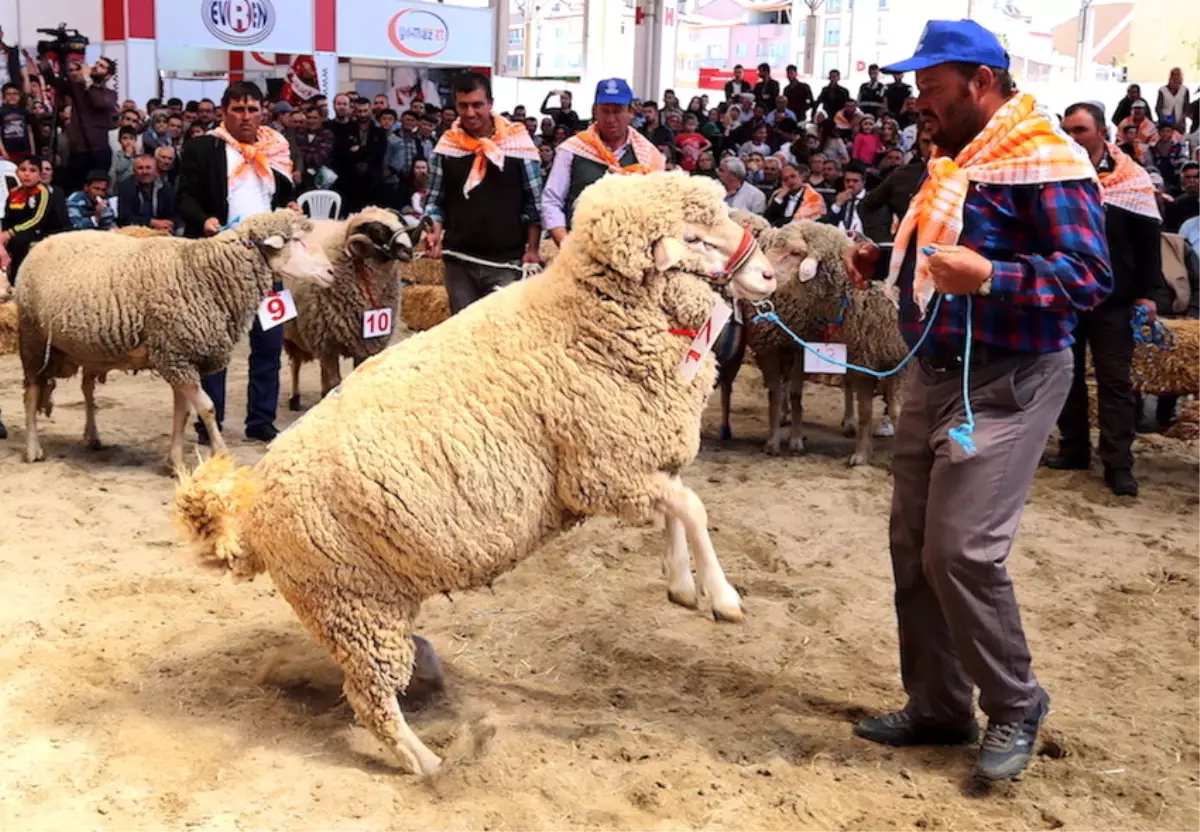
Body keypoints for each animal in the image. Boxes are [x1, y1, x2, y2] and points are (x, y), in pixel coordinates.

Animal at [17, 207, 338, 468]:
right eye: (297, 240)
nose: (331, 272)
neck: (207, 273)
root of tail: (42, 243)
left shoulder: (182, 357)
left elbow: (182, 413)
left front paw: (176, 463)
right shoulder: (176, 357)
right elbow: (207, 407)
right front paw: (221, 454)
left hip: (88, 350)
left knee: (87, 389)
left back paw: (92, 436)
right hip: (33, 341)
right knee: (32, 393)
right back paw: (33, 449)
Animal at [285, 204, 427, 405]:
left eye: (399, 223)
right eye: (377, 230)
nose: (408, 250)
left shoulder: (365, 344)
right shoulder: (327, 342)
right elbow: (334, 381)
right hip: (291, 331)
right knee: (295, 363)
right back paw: (294, 397)